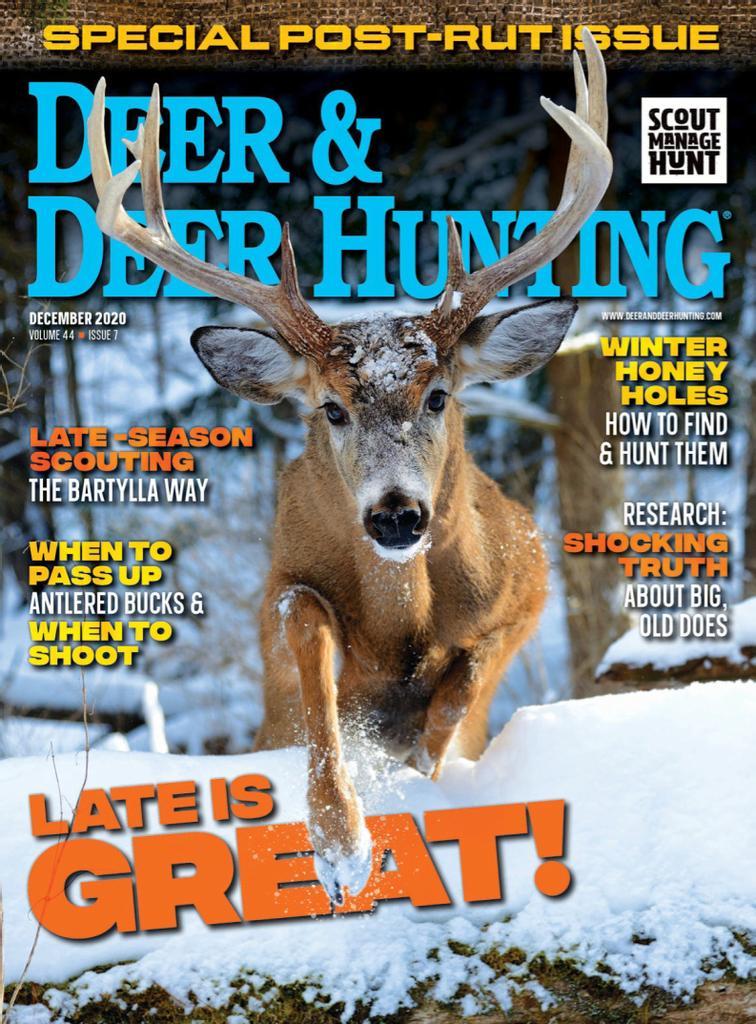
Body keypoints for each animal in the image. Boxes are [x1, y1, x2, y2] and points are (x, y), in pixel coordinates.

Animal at [87, 31, 611, 901]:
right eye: (331, 408)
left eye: (438, 395)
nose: (396, 514)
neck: (403, 618)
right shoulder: (280, 599)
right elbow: (309, 639)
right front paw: (341, 845)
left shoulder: (529, 589)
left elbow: (464, 681)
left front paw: (417, 768)